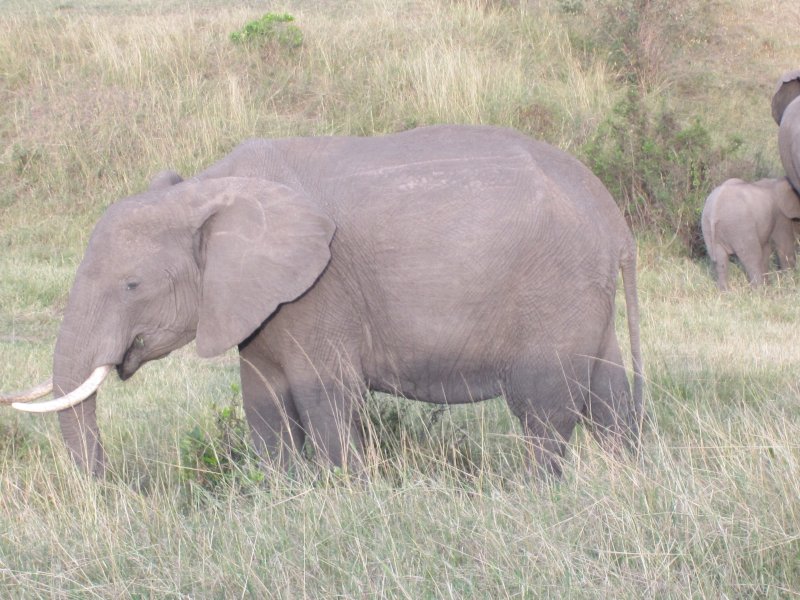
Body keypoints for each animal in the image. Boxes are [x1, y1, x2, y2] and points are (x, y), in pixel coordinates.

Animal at [1, 125, 643, 479]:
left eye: (132, 285)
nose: (109, 485)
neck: (211, 190)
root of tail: (614, 218)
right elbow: (263, 403)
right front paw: (278, 498)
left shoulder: (319, 290)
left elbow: (326, 400)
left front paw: (344, 496)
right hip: (585, 296)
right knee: (608, 396)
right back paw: (625, 480)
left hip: (554, 287)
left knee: (544, 407)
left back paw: (537, 493)